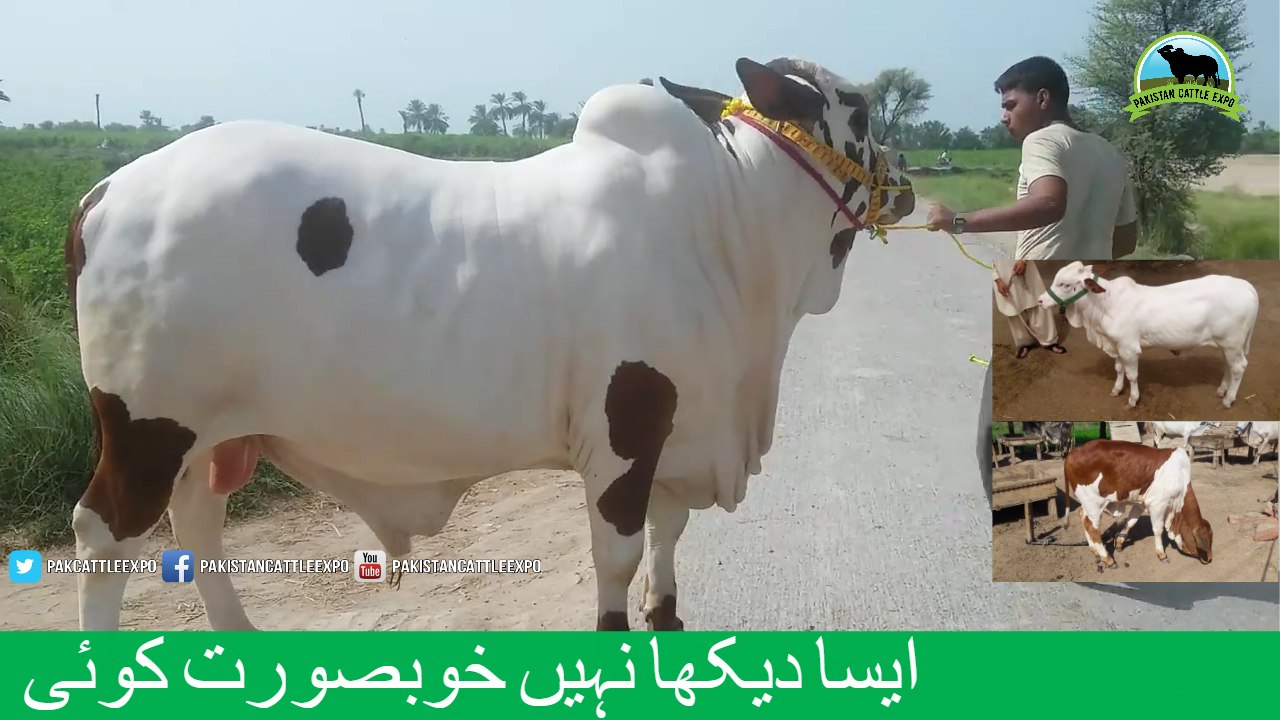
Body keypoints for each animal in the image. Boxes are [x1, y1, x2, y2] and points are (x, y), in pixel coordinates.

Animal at [62, 56, 916, 632]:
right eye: (860, 112)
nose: (905, 182)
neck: (731, 224)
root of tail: (104, 189)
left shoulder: (685, 430)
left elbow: (667, 537)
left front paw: (667, 615)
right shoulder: (626, 430)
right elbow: (618, 556)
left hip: (211, 435)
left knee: (196, 529)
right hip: (146, 427)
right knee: (106, 537)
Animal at [1036, 261, 1258, 408]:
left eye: (1065, 284)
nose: (1040, 300)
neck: (1105, 304)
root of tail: (1246, 285)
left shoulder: (1129, 348)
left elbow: (1132, 375)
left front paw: (1133, 399)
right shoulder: (1116, 345)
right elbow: (1119, 369)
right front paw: (1117, 389)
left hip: (1231, 343)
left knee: (1239, 367)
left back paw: (1228, 399)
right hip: (1228, 345)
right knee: (1230, 366)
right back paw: (1222, 390)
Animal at [1063, 439, 1212, 572]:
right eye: (1207, 540)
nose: (1210, 559)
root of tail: (1072, 452)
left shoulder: (1142, 503)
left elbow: (1131, 522)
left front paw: (1119, 542)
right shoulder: (1158, 504)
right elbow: (1158, 530)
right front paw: (1161, 554)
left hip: (1088, 503)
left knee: (1083, 516)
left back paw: (1094, 550)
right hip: (1094, 503)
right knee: (1092, 526)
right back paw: (1107, 558)